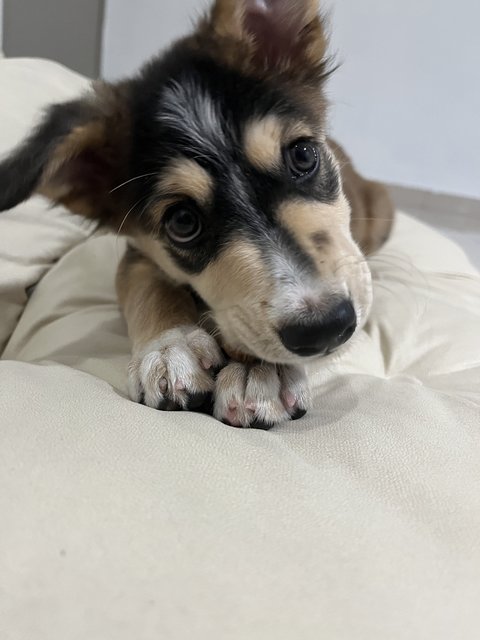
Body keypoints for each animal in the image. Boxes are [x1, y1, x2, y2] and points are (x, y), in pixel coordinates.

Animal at [0, 1, 394, 430]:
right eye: (183, 222)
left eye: (303, 155)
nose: (325, 328)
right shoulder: (141, 252)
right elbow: (148, 287)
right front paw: (170, 346)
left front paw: (259, 370)